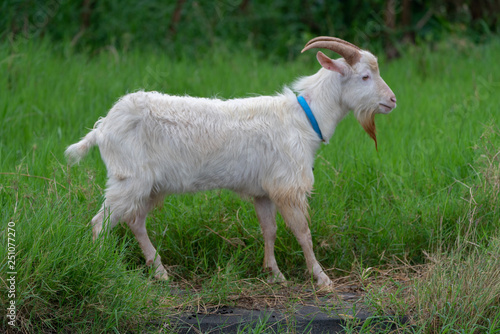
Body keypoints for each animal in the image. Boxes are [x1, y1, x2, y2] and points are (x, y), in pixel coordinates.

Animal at [65, 37, 394, 286]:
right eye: (365, 76)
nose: (392, 101)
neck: (303, 118)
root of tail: (102, 128)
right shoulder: (288, 186)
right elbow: (303, 233)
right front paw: (322, 278)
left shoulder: (264, 191)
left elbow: (269, 229)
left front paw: (274, 274)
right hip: (130, 180)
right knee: (100, 223)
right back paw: (102, 266)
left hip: (149, 186)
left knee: (135, 220)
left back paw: (159, 271)